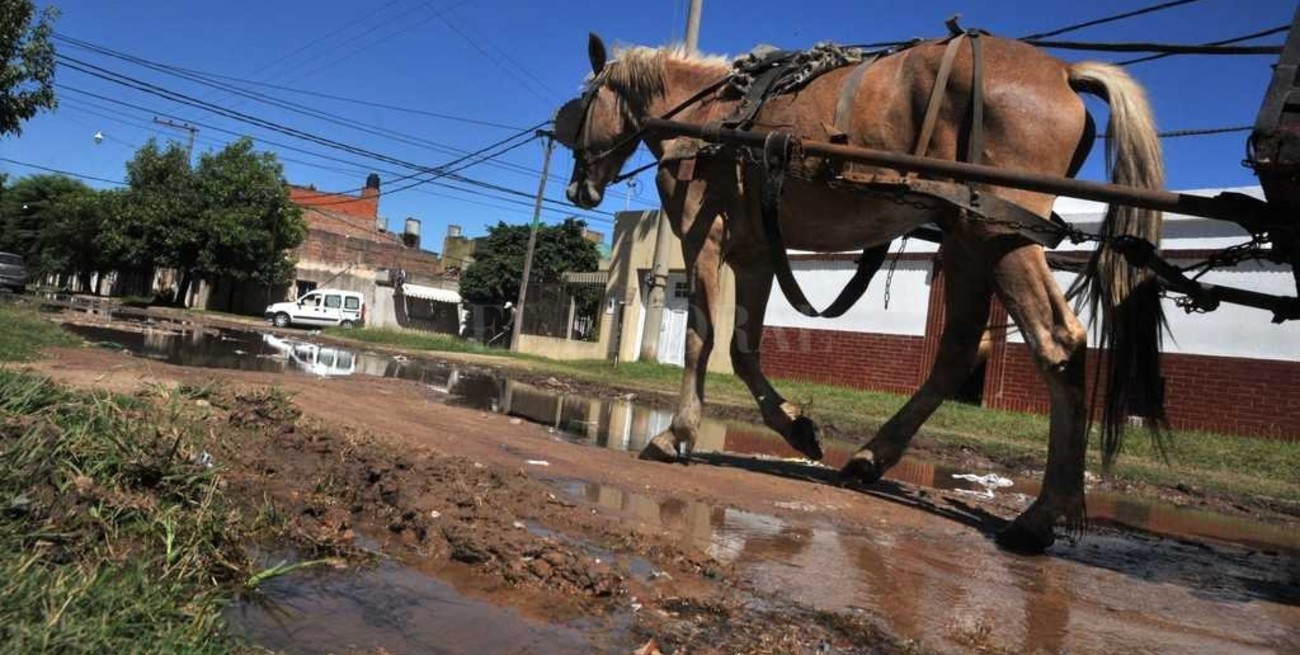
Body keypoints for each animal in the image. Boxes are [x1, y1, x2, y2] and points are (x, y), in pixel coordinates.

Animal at [558, 32, 1166, 554]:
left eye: (582, 104)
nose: (577, 187)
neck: (708, 117)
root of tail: (1062, 72)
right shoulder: (755, 253)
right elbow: (743, 349)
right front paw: (797, 428)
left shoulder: (703, 237)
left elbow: (700, 339)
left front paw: (676, 435)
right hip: (968, 239)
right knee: (959, 347)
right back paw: (873, 457)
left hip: (998, 231)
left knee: (1057, 341)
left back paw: (1042, 514)